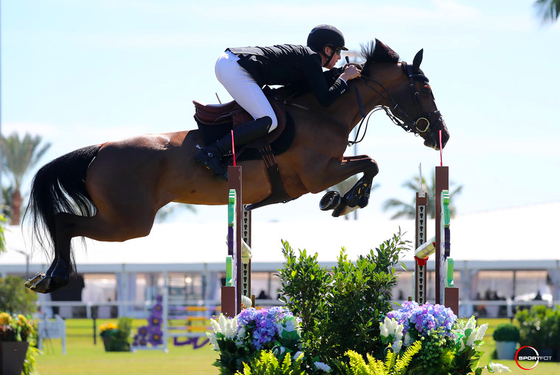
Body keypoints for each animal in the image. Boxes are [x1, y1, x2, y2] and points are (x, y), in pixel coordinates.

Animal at [24, 39, 448, 296]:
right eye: (424, 90)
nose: (441, 135)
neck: (323, 111)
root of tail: (99, 150)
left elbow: (366, 164)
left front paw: (339, 201)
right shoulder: (317, 173)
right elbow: (370, 163)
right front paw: (347, 201)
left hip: (125, 220)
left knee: (65, 221)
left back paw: (48, 276)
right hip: (129, 223)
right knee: (65, 221)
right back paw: (54, 277)